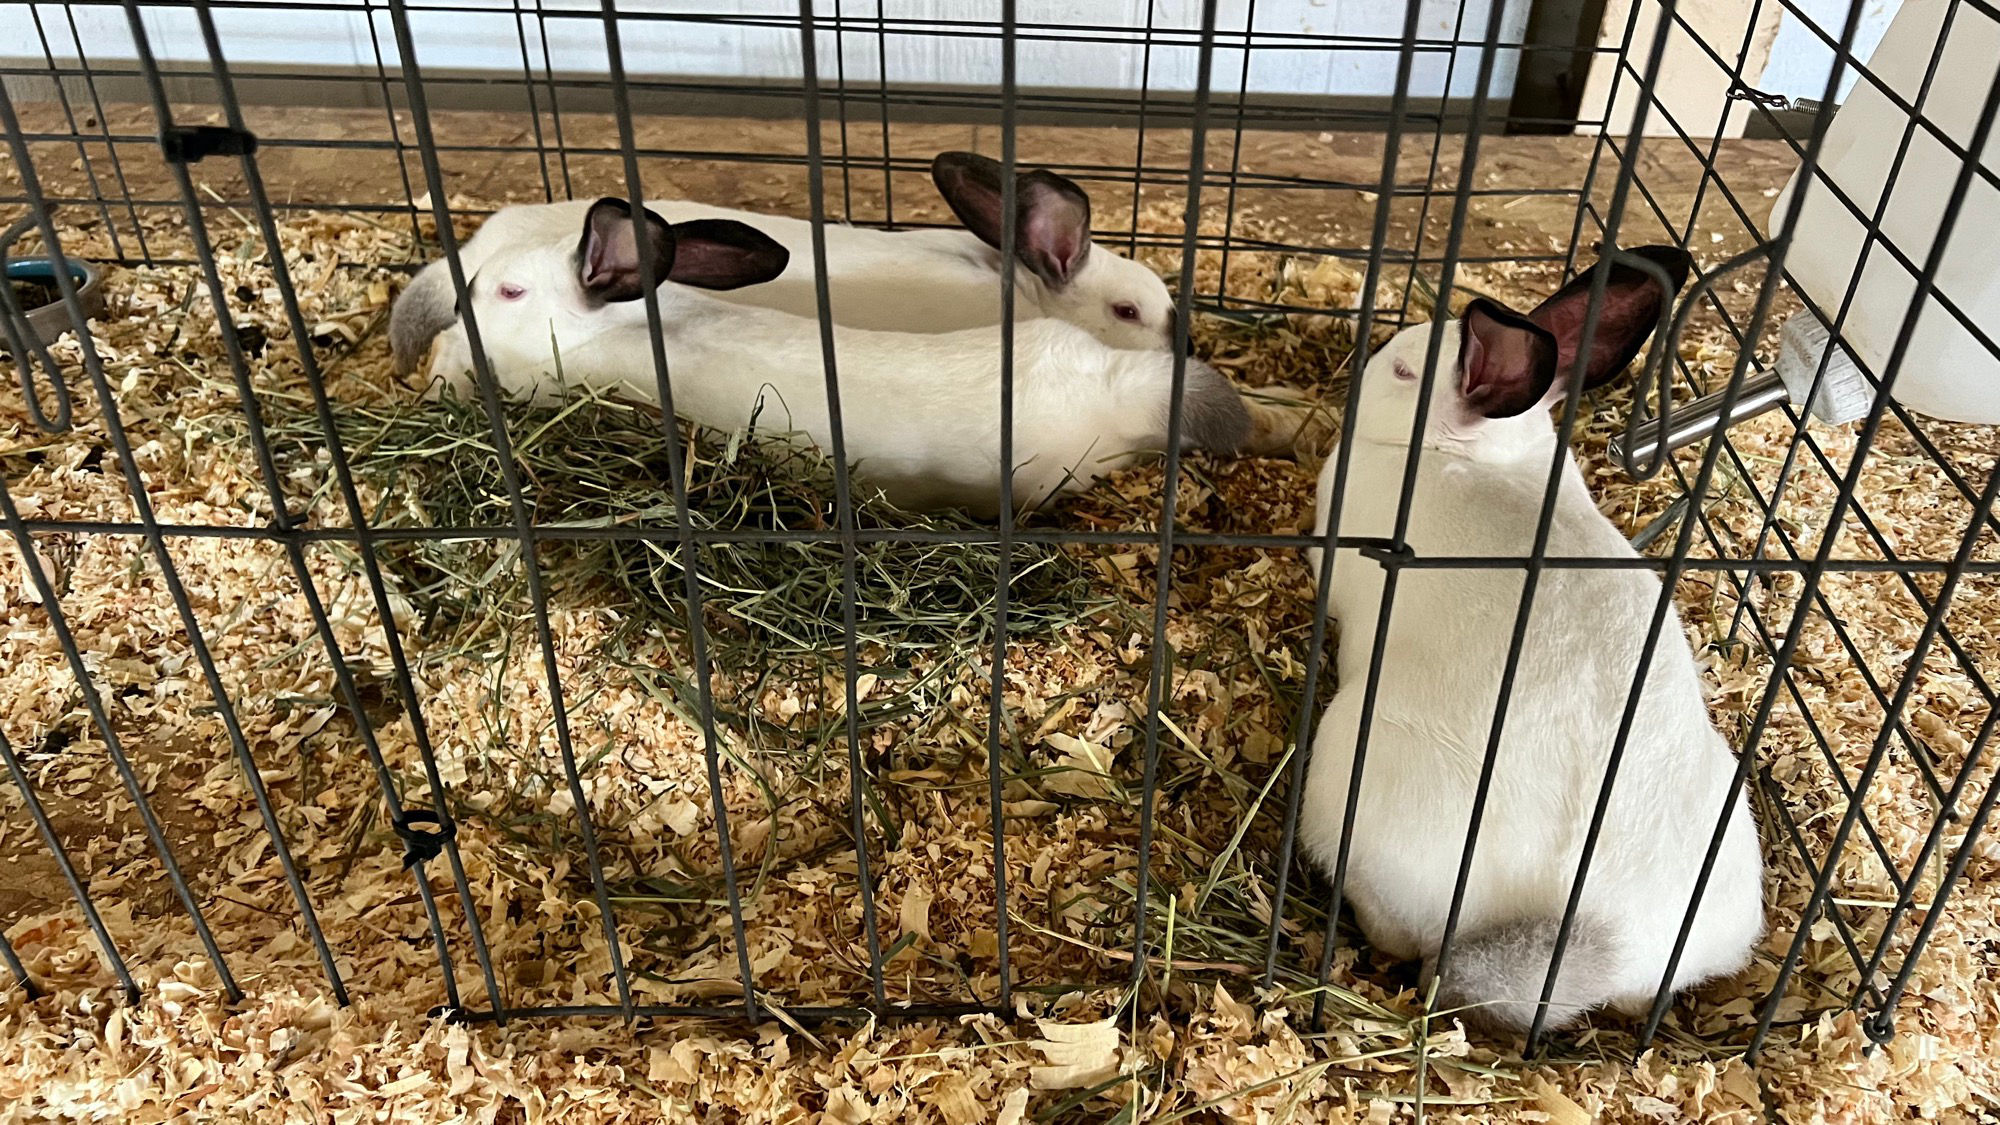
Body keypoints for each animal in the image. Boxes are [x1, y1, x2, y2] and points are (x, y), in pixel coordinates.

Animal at [1304, 247, 1776, 1032]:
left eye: (1402, 372)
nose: (1366, 375)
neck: (1477, 456)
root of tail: (1602, 930)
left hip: (1353, 764)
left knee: (1399, 933)